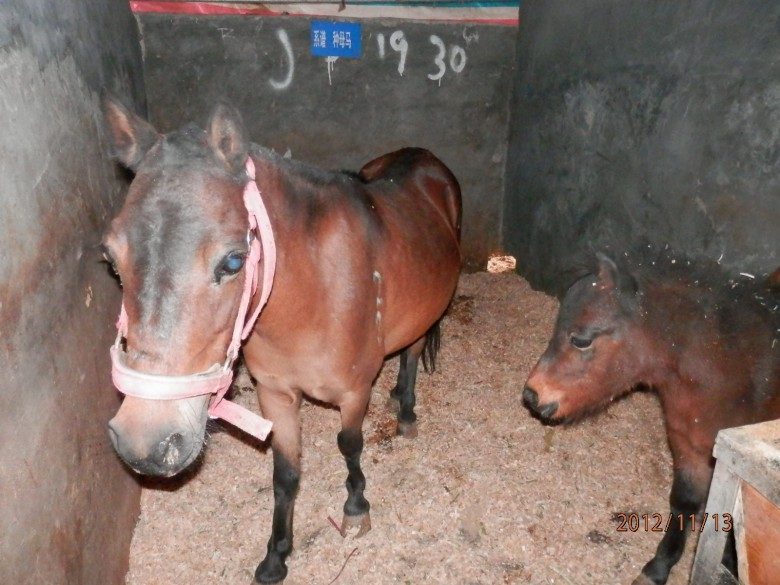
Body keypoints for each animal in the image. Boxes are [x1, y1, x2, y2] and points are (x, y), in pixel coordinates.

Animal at [101, 97, 462, 584]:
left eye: (233, 261)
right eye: (111, 258)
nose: (145, 443)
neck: (313, 292)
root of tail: (424, 158)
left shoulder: (353, 392)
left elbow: (350, 445)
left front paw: (356, 507)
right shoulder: (276, 396)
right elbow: (286, 474)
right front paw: (276, 556)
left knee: (413, 352)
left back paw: (405, 410)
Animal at [522, 248, 780, 585]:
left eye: (581, 340)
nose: (532, 395)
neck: (731, 369)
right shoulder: (688, 448)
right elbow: (685, 502)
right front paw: (657, 568)